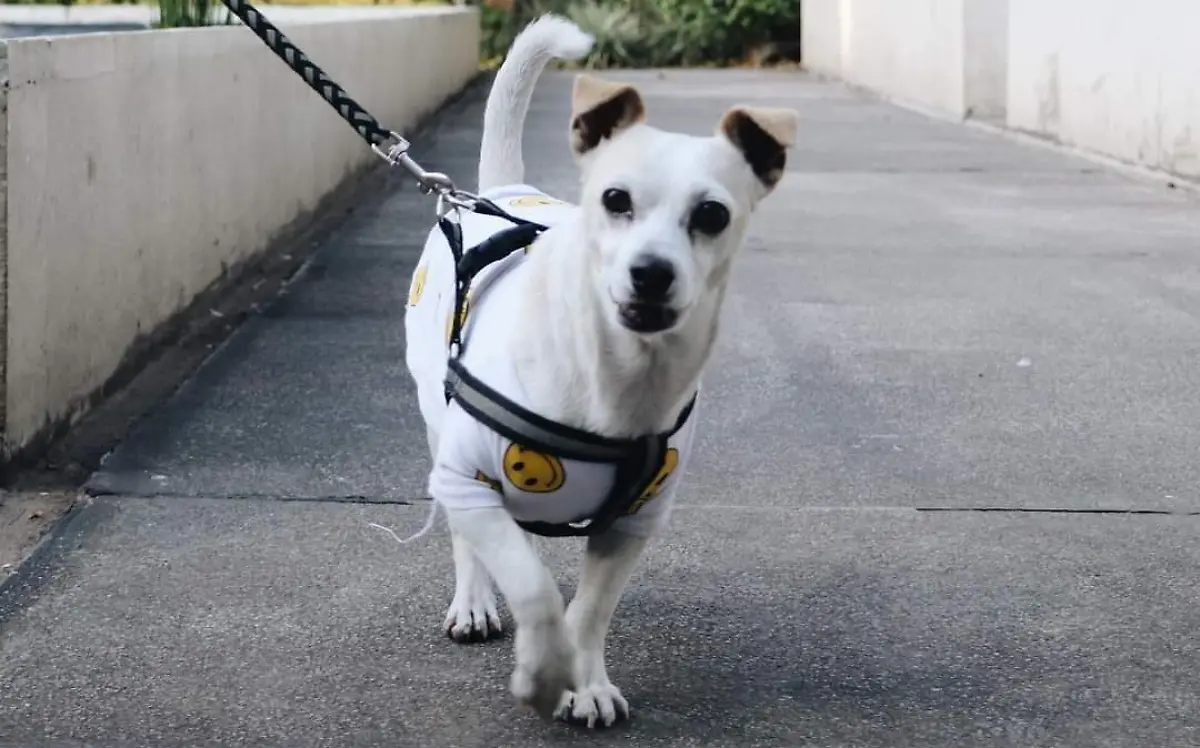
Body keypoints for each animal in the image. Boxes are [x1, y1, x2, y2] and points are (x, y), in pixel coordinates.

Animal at [403, 13, 797, 728]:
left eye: (712, 214)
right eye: (615, 199)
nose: (652, 272)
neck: (617, 375)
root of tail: (496, 193)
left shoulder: (634, 522)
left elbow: (587, 611)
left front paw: (584, 683)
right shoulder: (470, 479)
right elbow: (532, 587)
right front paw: (540, 675)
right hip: (440, 435)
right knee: (469, 537)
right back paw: (474, 603)